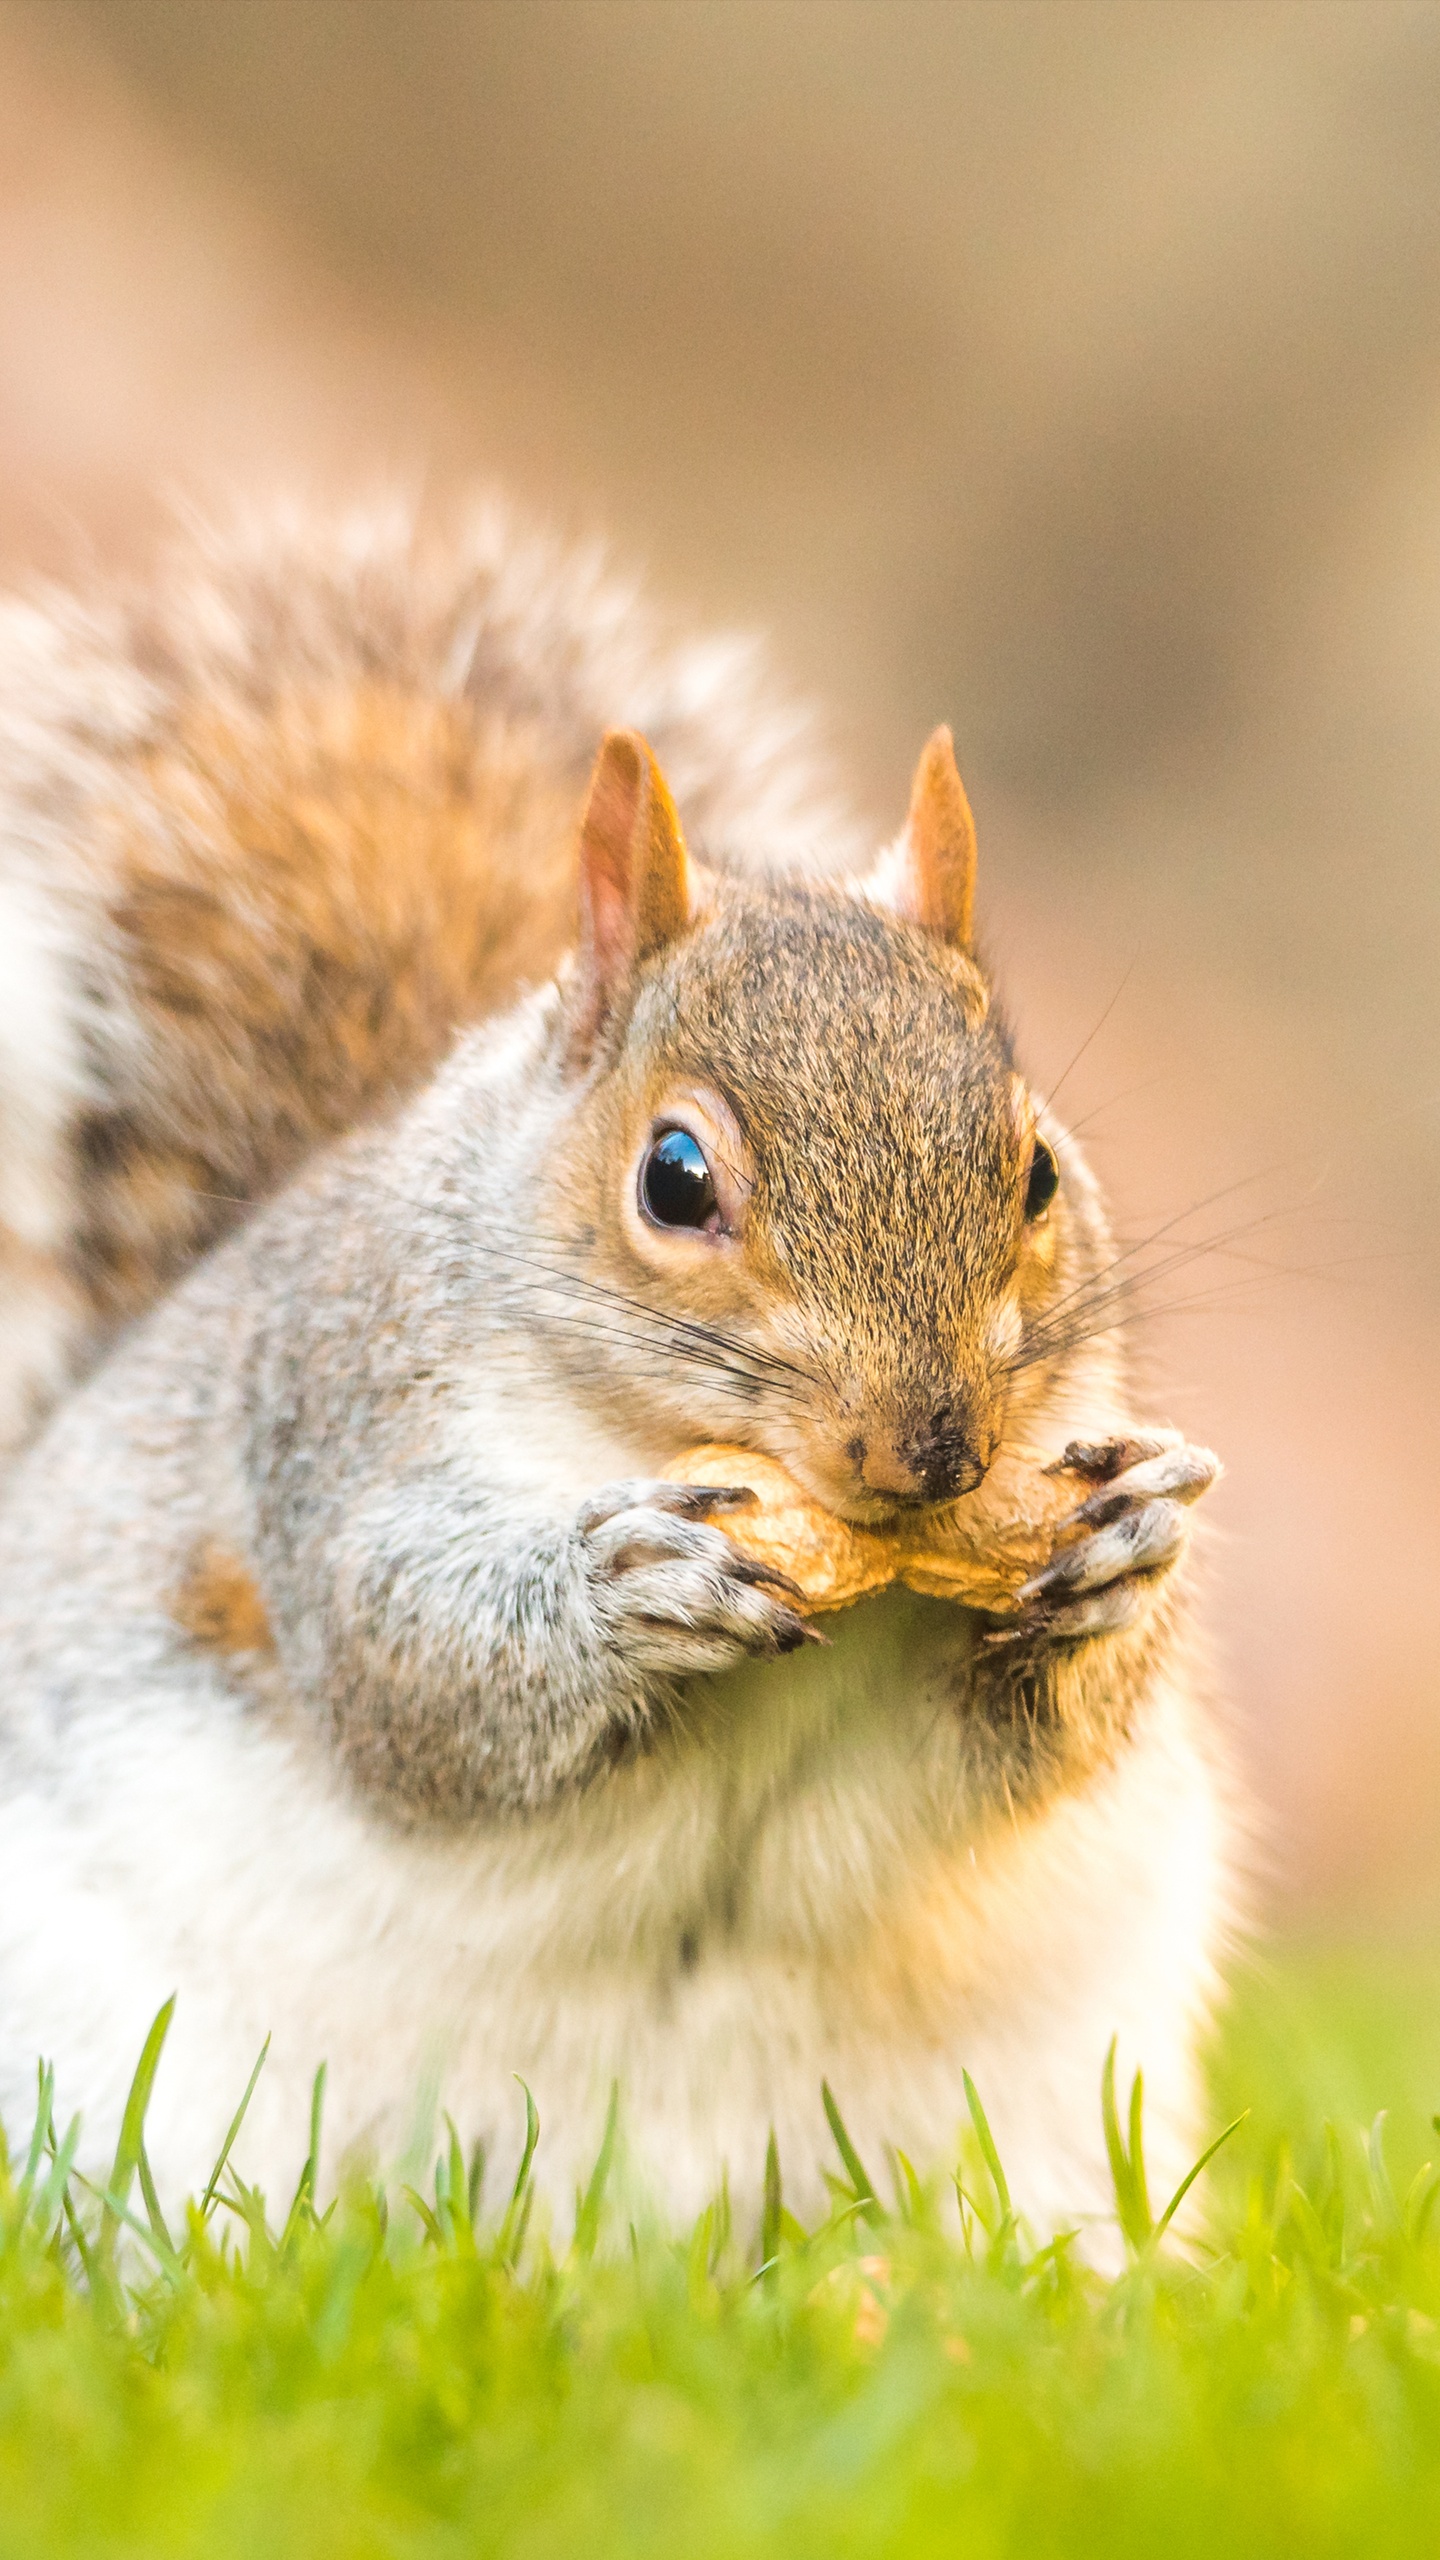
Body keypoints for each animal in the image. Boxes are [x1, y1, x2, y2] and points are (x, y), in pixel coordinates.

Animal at [0, 494, 1229, 2242]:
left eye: (1040, 1170)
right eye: (674, 1178)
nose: (932, 1454)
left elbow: (1019, 1751)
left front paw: (1131, 1549)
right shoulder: (329, 1423)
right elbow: (407, 1675)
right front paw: (620, 1589)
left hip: (1040, 2114)